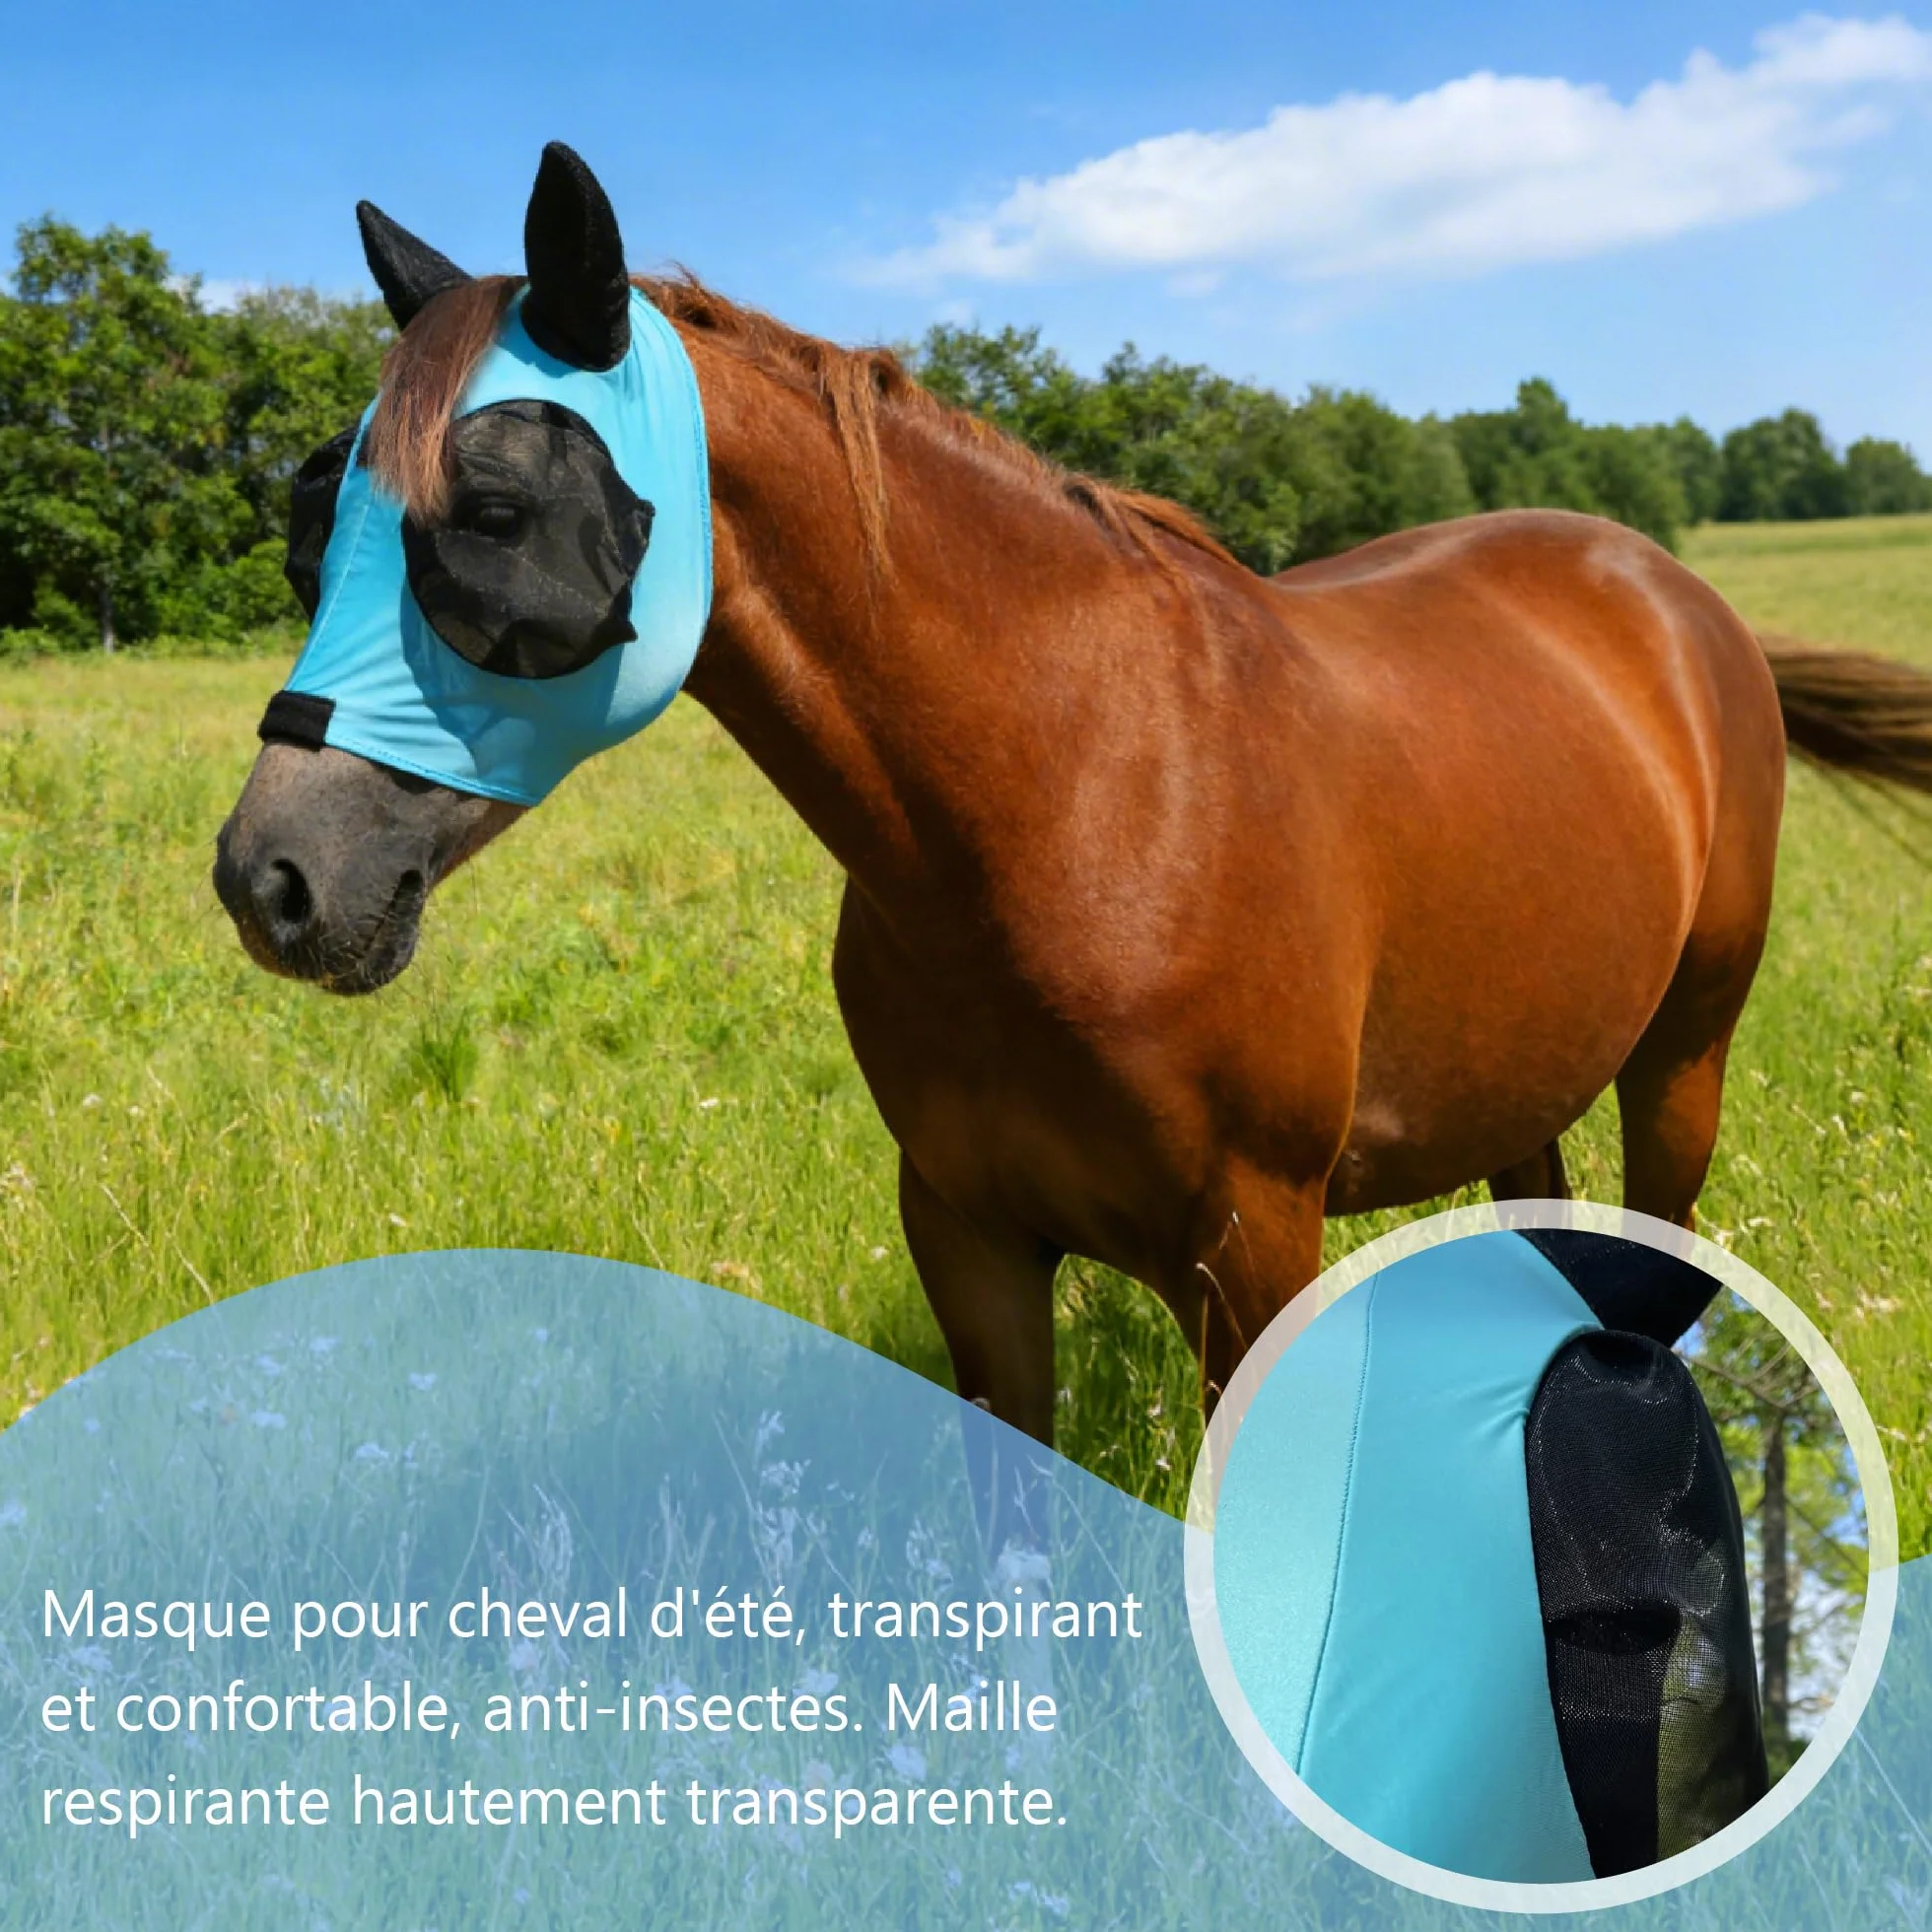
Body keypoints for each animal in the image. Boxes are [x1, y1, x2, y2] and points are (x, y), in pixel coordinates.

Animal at [214, 144, 1932, 1448]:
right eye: (311, 524)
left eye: (492, 512)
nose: (270, 878)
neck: (1073, 801)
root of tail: (1672, 592)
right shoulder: (971, 1239)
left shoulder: (1252, 1246)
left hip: (1682, 1059)